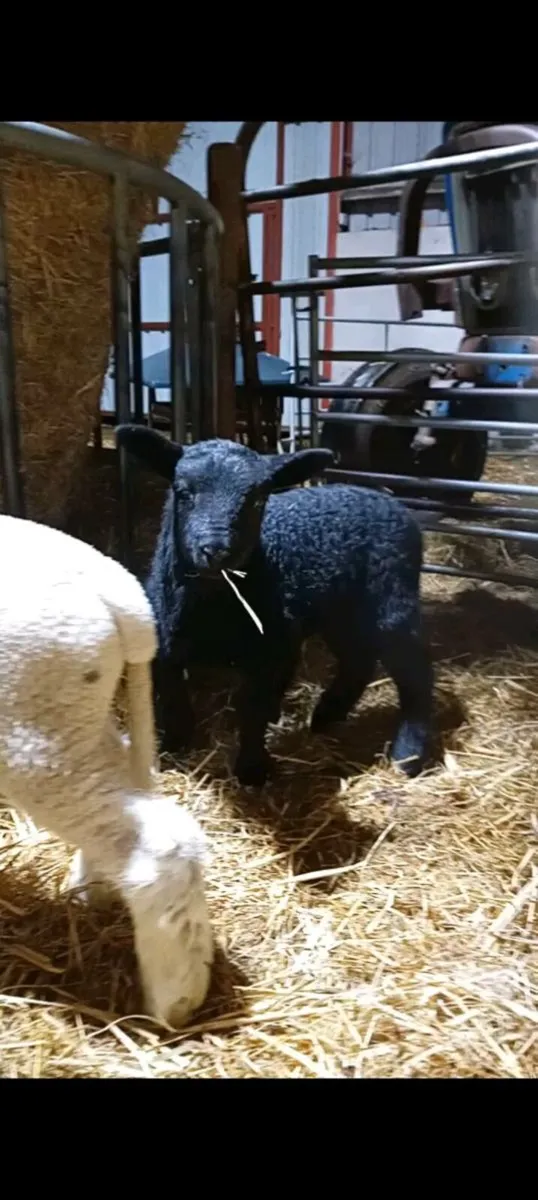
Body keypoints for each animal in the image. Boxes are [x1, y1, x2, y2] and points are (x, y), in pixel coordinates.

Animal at [0, 514, 213, 1029]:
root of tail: (121, 594)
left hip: (33, 734)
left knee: (160, 842)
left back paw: (174, 997)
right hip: (75, 718)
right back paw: (92, 889)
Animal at [116, 425, 435, 788]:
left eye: (258, 499)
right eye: (183, 492)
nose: (216, 549)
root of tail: (388, 500)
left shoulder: (273, 651)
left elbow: (254, 711)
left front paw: (252, 770)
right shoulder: (165, 646)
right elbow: (173, 700)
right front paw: (173, 747)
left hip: (392, 601)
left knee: (415, 672)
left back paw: (408, 755)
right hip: (342, 613)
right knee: (358, 660)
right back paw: (326, 716)